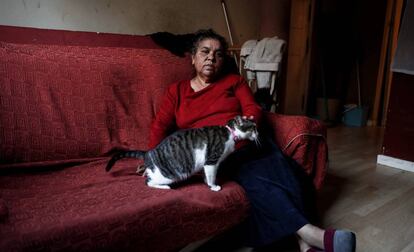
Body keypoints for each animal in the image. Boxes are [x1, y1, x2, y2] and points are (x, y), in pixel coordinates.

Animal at [105, 115, 258, 191]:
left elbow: (205, 174)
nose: (258, 133)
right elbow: (211, 176)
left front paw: (205, 181)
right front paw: (213, 186)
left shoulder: (206, 164)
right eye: (254, 128)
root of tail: (148, 153)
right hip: (167, 175)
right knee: (148, 182)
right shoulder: (211, 161)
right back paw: (165, 187)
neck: (230, 133)